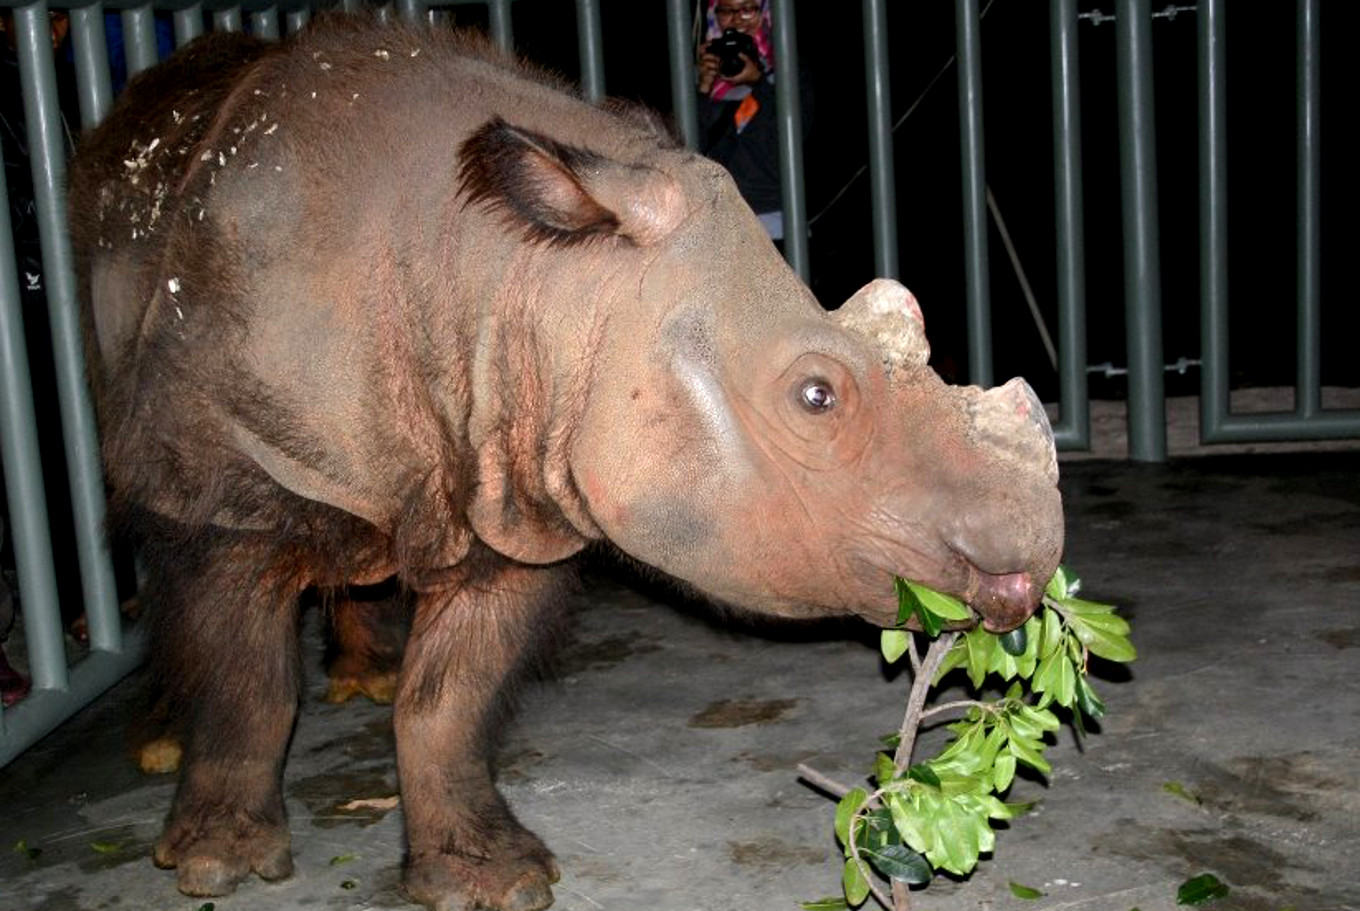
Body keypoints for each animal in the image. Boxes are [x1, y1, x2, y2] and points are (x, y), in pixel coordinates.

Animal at [66, 14, 1060, 911]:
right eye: (816, 396)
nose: (1035, 556)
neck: (529, 276)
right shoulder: (234, 476)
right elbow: (250, 682)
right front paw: (218, 866)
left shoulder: (518, 486)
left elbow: (448, 701)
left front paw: (488, 878)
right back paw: (164, 739)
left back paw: (366, 674)